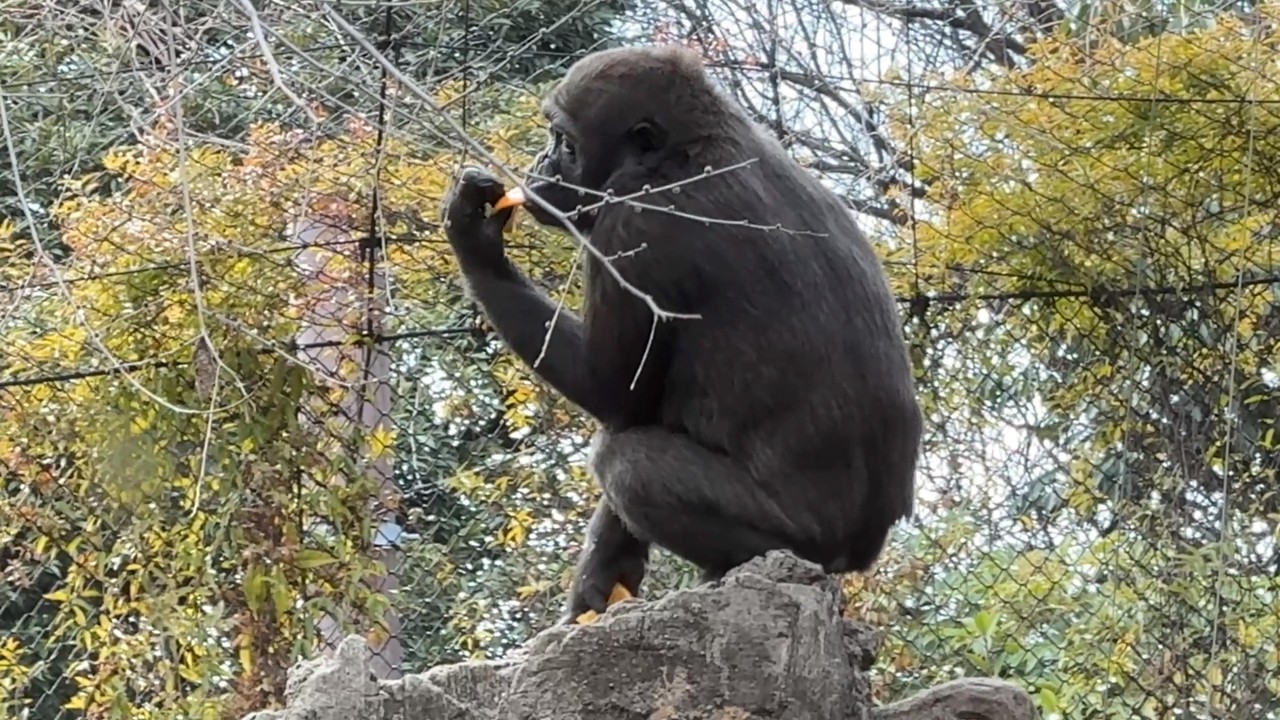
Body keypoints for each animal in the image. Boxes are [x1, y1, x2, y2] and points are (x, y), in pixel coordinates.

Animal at [441, 43, 922, 624]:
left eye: (565, 143)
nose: (540, 165)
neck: (686, 152)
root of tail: (865, 546)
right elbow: (638, 407)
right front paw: (598, 582)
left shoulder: (634, 218)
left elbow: (612, 392)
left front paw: (475, 238)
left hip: (812, 537)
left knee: (629, 466)